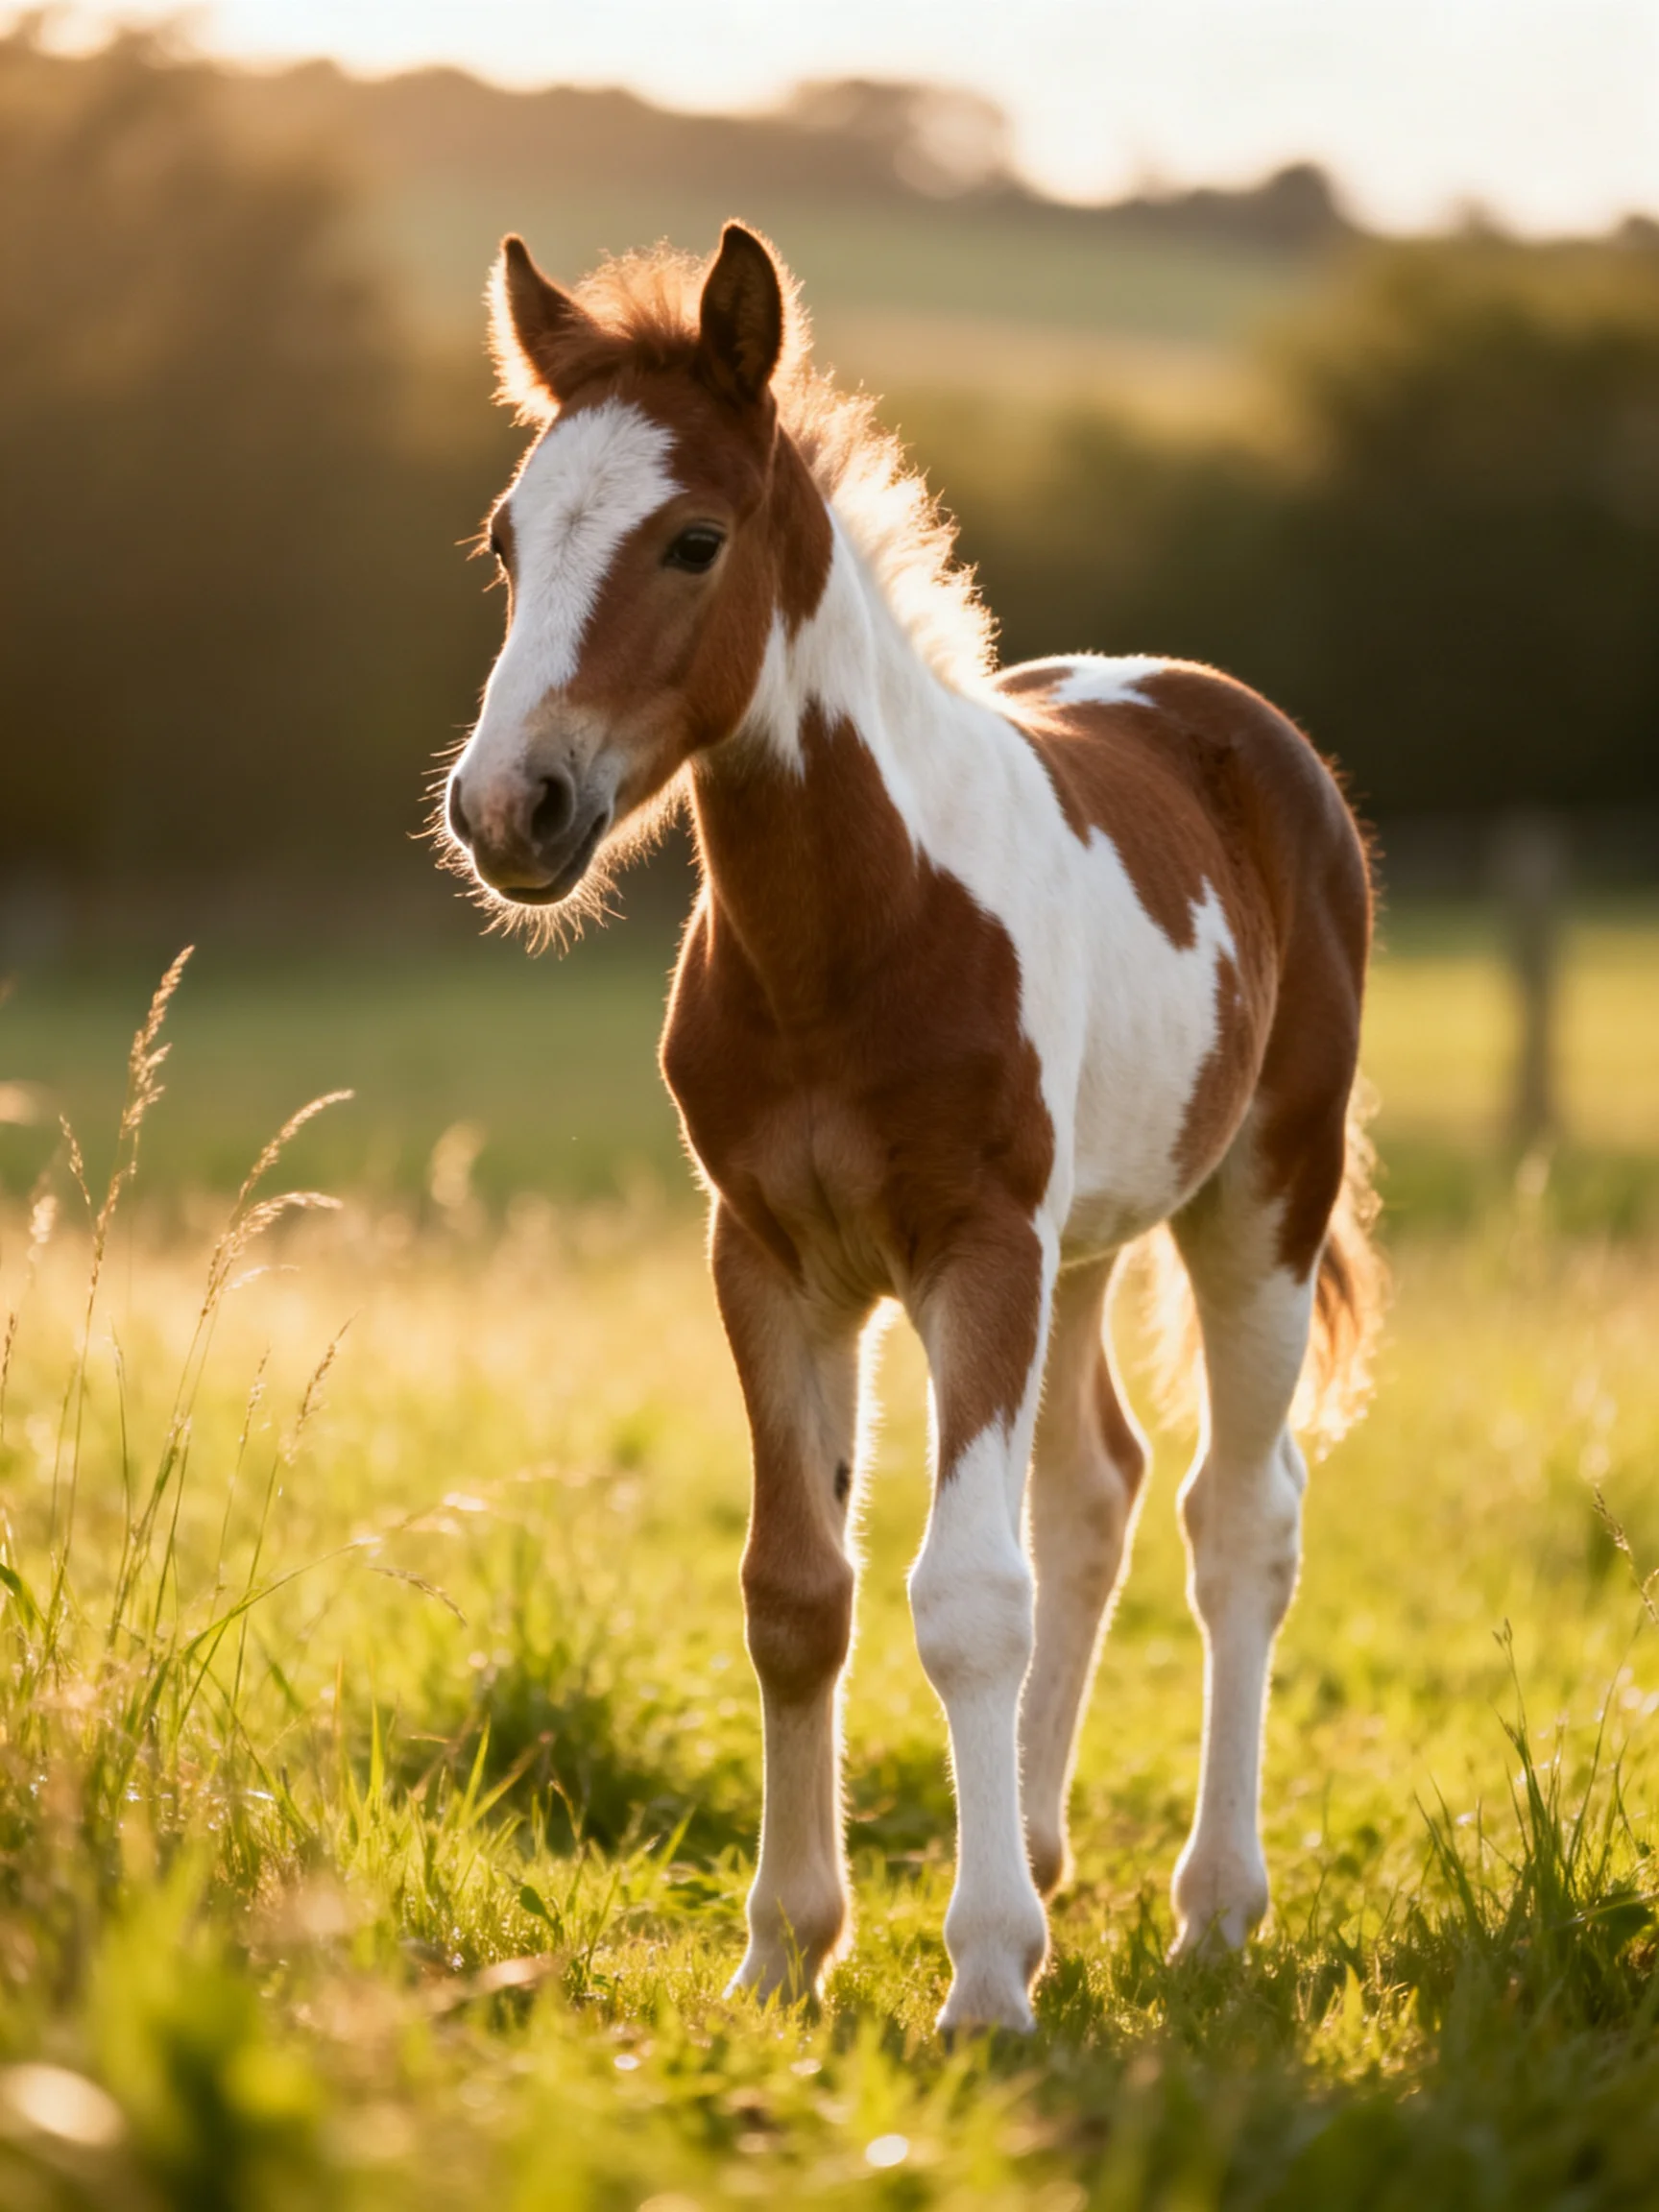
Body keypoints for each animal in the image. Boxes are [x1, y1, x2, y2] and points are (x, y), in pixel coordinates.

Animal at [440, 221, 1381, 2035]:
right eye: (508, 543)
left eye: (692, 539)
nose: (509, 809)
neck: (849, 930)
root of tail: (1232, 720)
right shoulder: (771, 1257)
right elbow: (798, 1591)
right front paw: (785, 1949)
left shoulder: (970, 1247)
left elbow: (962, 1597)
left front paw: (986, 1978)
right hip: (1083, 1241)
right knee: (1094, 1488)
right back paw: (1046, 1845)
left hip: (1252, 1205)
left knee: (1239, 1518)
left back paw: (1210, 1905)